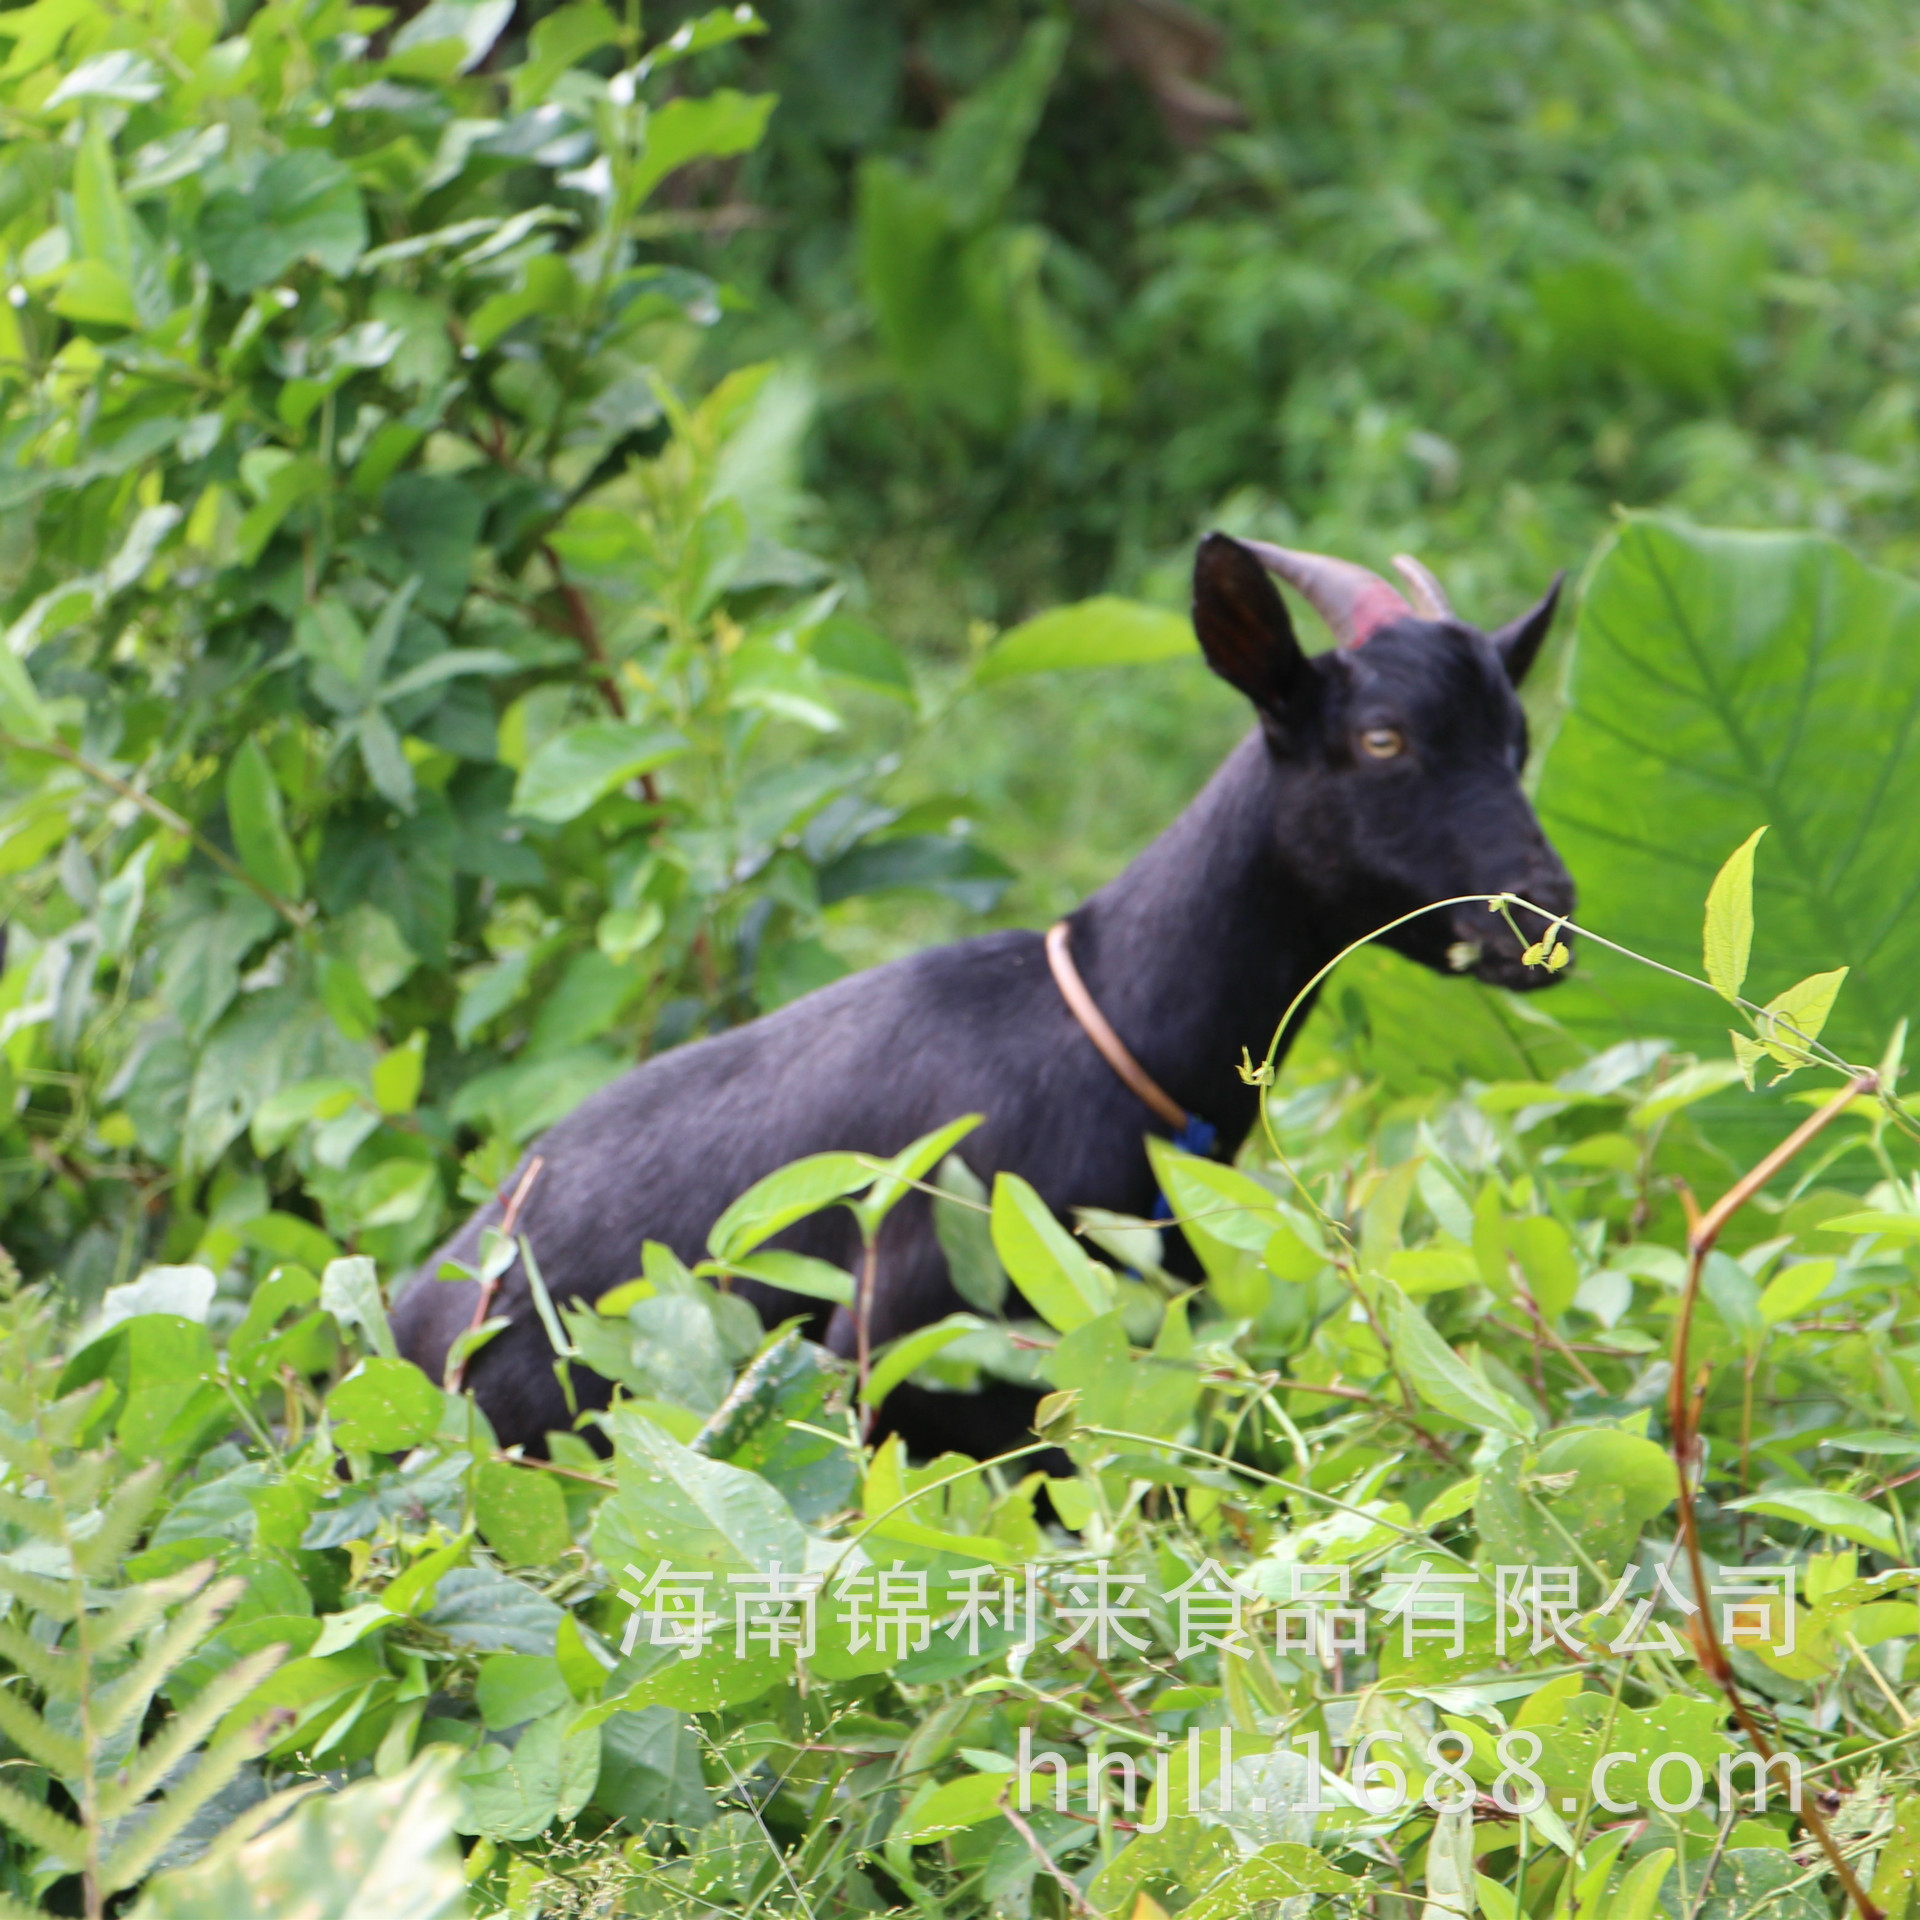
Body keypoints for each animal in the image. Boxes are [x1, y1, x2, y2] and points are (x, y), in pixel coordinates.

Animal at [389, 533, 1574, 1443]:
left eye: (1519, 740)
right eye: (1382, 739)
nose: (1543, 912)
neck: (1110, 1022)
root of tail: (411, 1317)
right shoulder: (917, 1341)